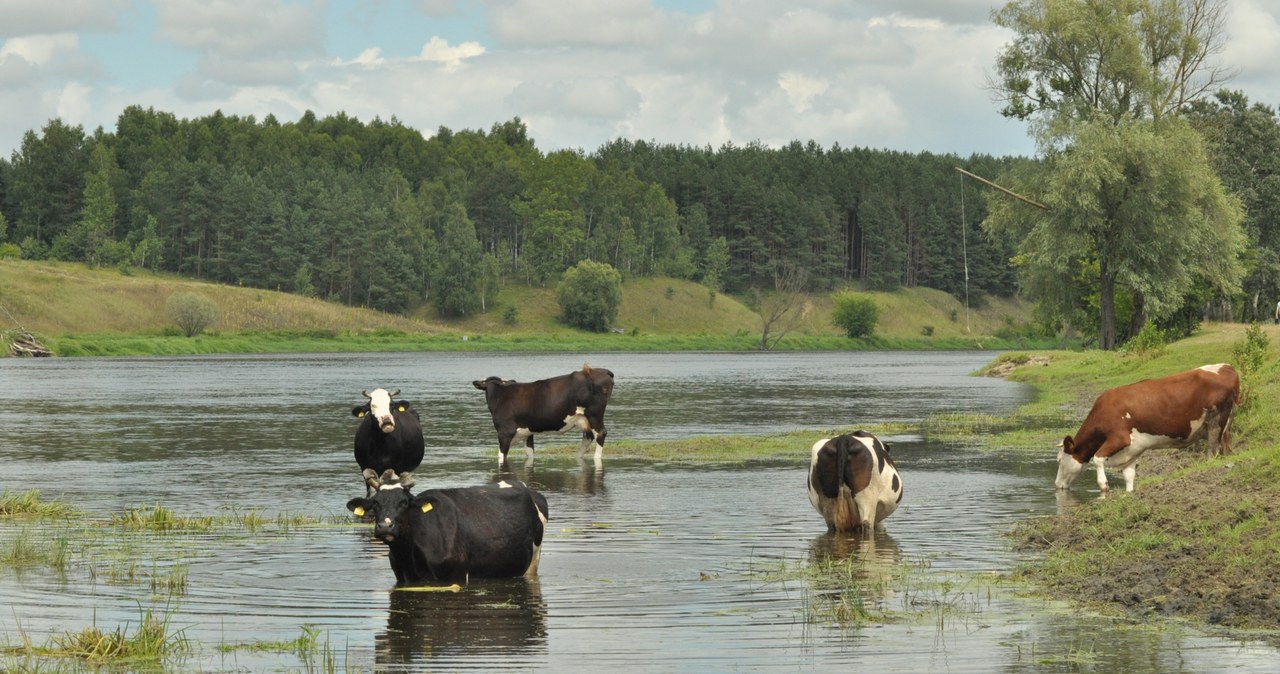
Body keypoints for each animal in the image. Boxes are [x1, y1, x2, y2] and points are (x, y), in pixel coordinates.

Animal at [348, 470, 547, 585]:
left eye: (404, 502)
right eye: (375, 503)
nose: (385, 526)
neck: (409, 558)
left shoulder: (455, 576)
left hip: (534, 560)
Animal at [471, 363, 614, 465]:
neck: (500, 394)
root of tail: (601, 371)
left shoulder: (504, 433)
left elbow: (501, 456)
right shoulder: (527, 433)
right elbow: (530, 454)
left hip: (594, 415)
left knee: (601, 434)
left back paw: (596, 458)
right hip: (583, 419)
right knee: (588, 437)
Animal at [1049, 360, 1239, 493]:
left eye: (1059, 460)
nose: (1056, 484)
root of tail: (1227, 368)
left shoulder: (1120, 438)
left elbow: (1097, 458)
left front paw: (1103, 485)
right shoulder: (1132, 450)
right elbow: (1129, 476)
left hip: (1216, 423)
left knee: (1213, 452)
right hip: (1225, 427)